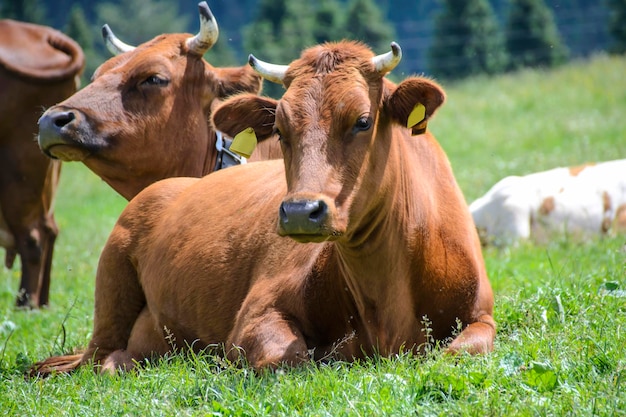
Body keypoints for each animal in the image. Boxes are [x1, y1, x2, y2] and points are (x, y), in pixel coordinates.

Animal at [31, 40, 494, 376]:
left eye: (362, 120)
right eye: (282, 130)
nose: (301, 211)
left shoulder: (482, 316)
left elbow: (458, 353)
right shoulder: (255, 314)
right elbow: (287, 358)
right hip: (111, 290)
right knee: (99, 359)